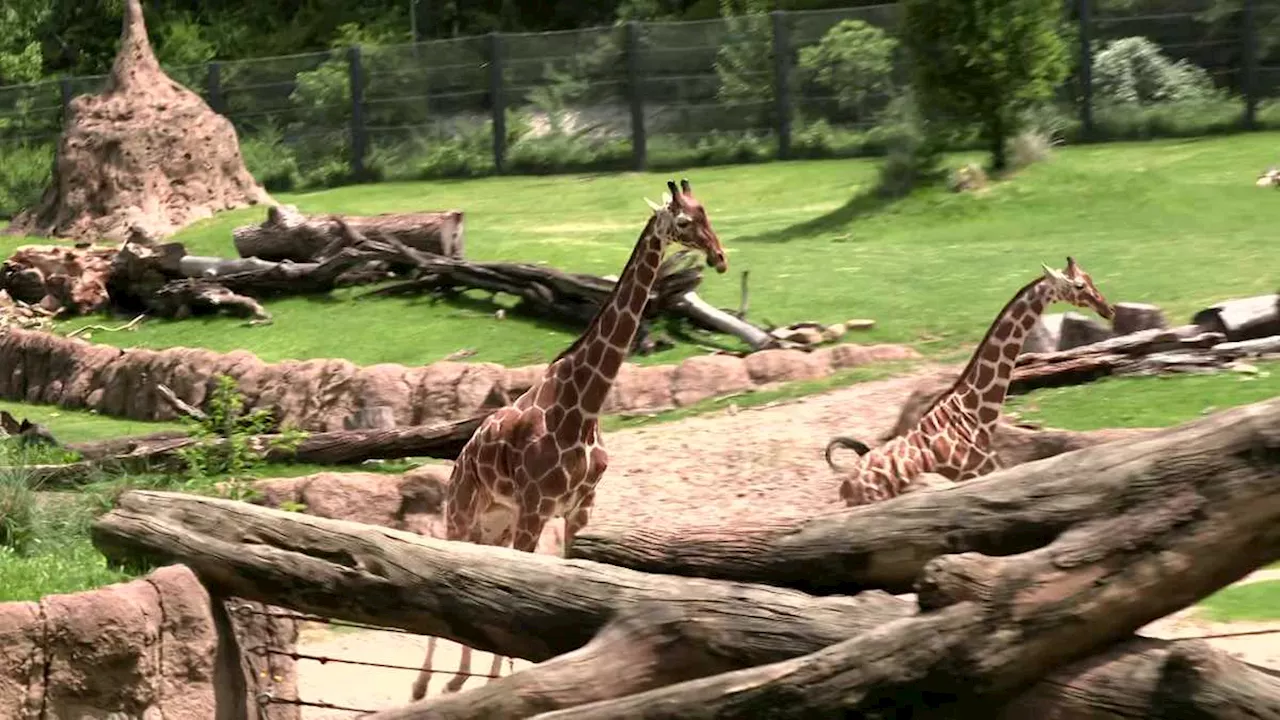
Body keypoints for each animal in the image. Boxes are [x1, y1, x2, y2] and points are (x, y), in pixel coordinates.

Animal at [412, 176, 732, 696]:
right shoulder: (537, 507)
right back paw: (428, 685)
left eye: (708, 213)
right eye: (684, 222)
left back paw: (461, 679)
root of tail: (460, 460)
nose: (719, 257)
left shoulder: (579, 508)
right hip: (465, 514)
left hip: (498, 521)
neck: (584, 408)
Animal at [829, 257, 1111, 504]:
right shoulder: (976, 475)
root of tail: (846, 486)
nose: (1107, 309)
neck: (974, 414)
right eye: (1079, 285)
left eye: (1090, 278)